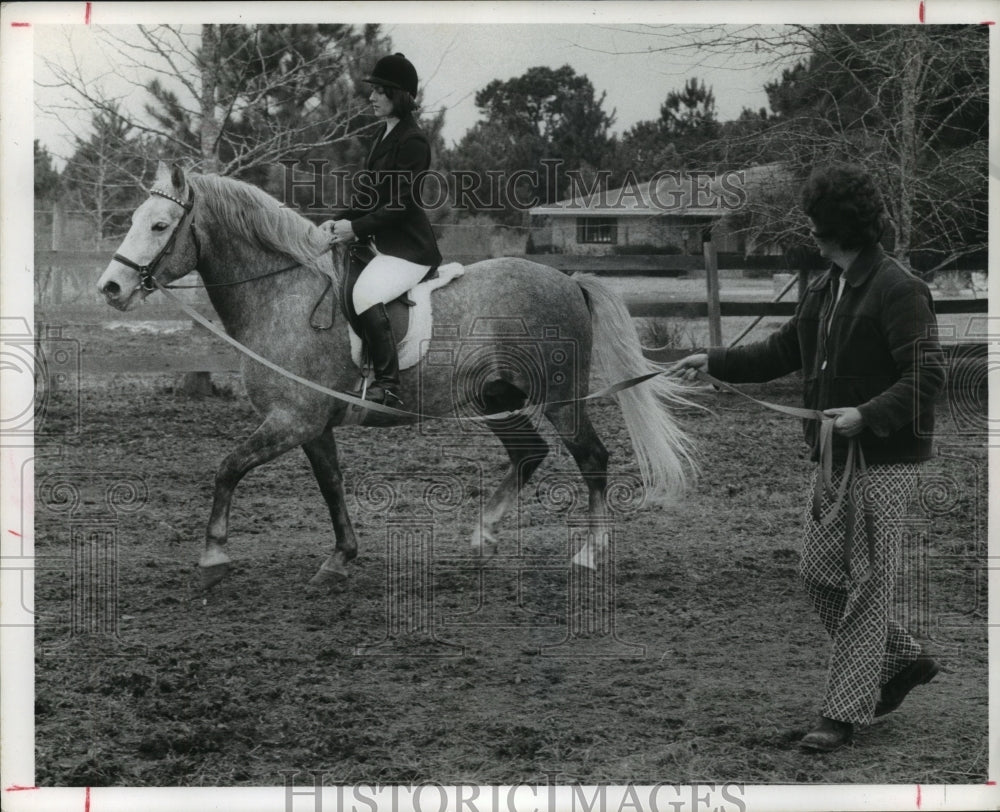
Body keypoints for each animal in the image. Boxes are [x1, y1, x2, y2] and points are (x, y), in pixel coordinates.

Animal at [101, 163, 696, 588]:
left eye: (159, 225)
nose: (111, 288)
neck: (281, 295)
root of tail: (569, 280)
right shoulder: (313, 426)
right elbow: (331, 485)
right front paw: (339, 560)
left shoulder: (293, 419)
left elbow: (227, 469)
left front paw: (214, 556)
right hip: (495, 397)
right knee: (529, 454)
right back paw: (484, 534)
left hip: (560, 398)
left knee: (591, 458)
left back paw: (589, 554)